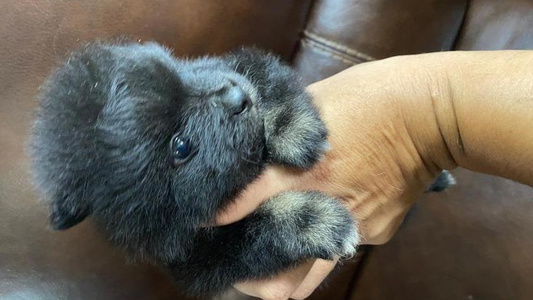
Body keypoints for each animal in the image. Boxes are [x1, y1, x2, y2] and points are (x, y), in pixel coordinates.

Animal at [30, 41, 454, 296]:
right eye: (181, 147)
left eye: (176, 71)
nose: (235, 98)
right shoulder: (199, 260)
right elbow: (254, 235)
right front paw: (313, 222)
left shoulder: (234, 65)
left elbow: (263, 75)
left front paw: (290, 127)